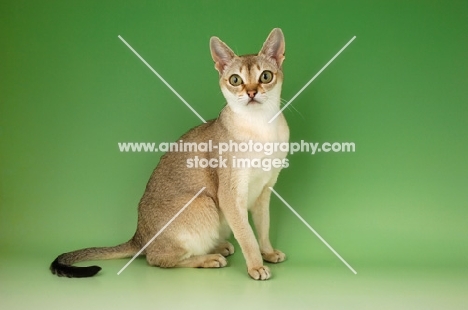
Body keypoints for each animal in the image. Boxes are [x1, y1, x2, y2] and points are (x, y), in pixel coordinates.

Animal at [53, 28, 290, 280]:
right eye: (235, 80)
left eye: (265, 76)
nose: (252, 92)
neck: (261, 128)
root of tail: (139, 237)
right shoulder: (230, 195)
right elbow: (247, 236)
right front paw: (256, 266)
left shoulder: (265, 190)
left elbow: (263, 228)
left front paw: (268, 252)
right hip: (204, 203)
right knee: (157, 258)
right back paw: (209, 258)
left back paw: (219, 246)